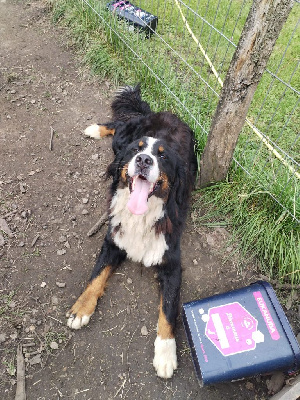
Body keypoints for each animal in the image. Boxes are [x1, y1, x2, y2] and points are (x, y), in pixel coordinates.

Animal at [66, 84, 198, 378]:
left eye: (162, 155)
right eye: (137, 151)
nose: (144, 160)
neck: (143, 215)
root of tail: (163, 113)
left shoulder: (171, 263)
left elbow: (168, 309)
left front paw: (165, 353)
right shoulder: (113, 239)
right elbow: (95, 276)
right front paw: (80, 309)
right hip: (121, 139)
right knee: (117, 126)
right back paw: (96, 129)